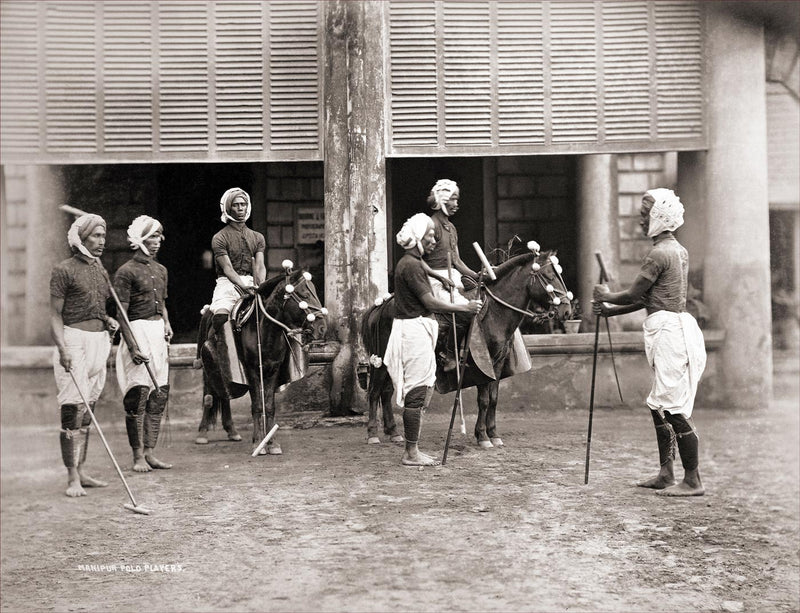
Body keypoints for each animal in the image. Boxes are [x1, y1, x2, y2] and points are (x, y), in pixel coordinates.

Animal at [195, 266, 326, 452]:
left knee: (224, 394)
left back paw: (232, 430)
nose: (322, 328)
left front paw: (272, 443)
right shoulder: (252, 370)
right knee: (209, 394)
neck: (265, 330)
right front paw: (258, 442)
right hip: (207, 366)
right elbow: (257, 405)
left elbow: (269, 406)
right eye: (304, 295)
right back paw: (203, 432)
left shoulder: (273, 369)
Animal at [362, 244, 576, 450]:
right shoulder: (485, 363)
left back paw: (393, 432)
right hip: (381, 360)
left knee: (386, 392)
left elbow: (494, 399)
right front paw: (482, 436)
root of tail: (381, 305)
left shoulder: (498, 364)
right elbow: (484, 400)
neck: (495, 312)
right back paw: (372, 434)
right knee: (374, 392)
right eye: (549, 276)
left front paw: (493, 434)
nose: (567, 311)